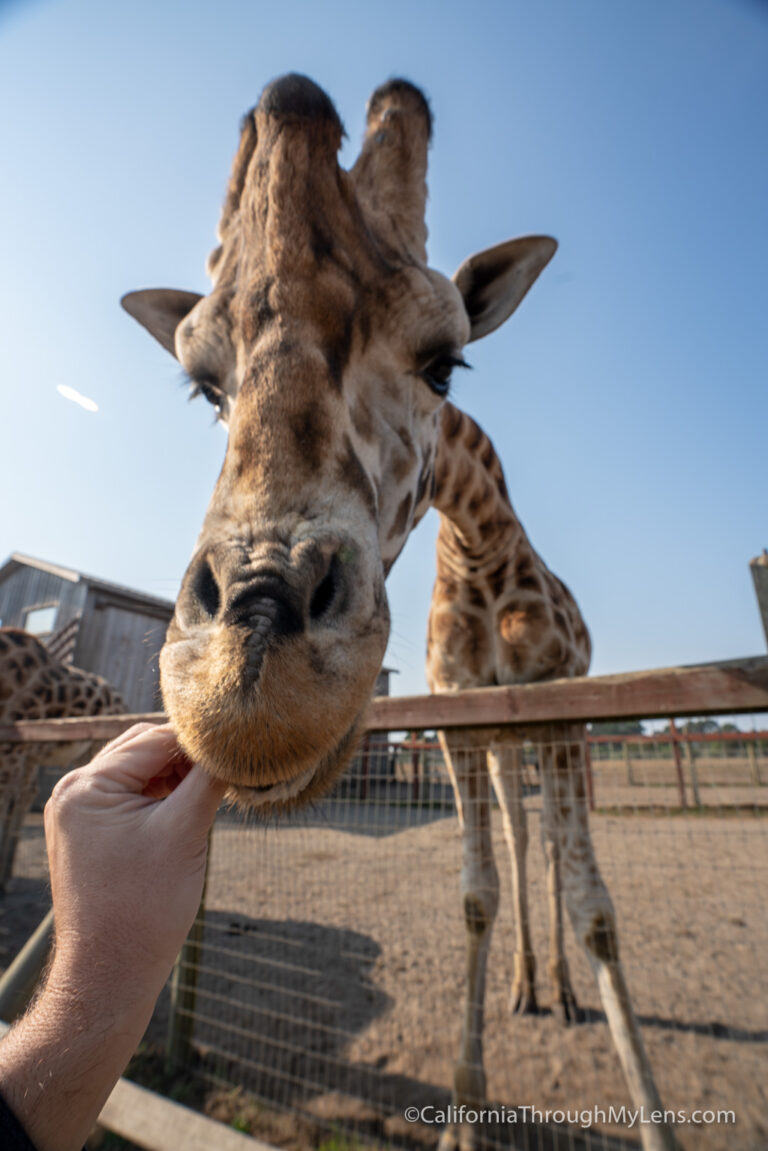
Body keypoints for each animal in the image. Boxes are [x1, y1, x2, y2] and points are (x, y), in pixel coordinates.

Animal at [124, 74, 677, 1151]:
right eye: (205, 388)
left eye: (445, 363)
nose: (250, 688)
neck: (483, 555)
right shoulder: (463, 723)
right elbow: (476, 890)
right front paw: (464, 1112)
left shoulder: (564, 709)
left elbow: (595, 903)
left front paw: (654, 1118)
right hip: (502, 742)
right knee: (521, 840)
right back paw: (532, 987)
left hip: (545, 730)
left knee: (552, 851)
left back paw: (564, 992)